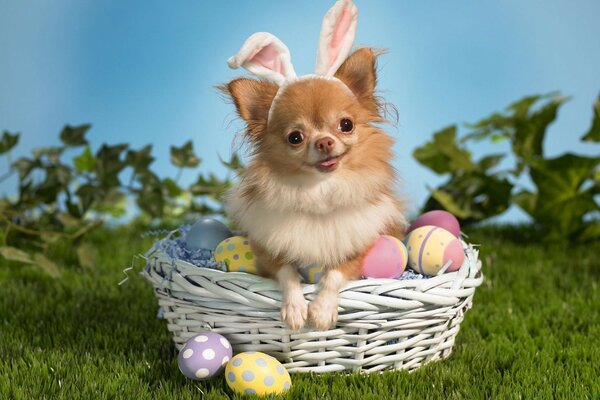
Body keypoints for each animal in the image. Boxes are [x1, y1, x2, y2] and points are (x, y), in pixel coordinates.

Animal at [220, 0, 408, 332]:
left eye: (346, 125)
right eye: (295, 137)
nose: (324, 142)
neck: (319, 190)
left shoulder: (360, 249)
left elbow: (334, 274)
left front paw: (321, 310)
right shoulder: (267, 250)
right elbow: (287, 273)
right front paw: (295, 308)